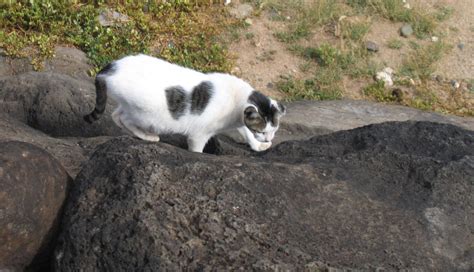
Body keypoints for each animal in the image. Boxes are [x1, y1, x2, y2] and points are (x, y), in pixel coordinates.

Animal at [84, 54, 286, 153]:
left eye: (273, 130)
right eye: (262, 131)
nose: (268, 139)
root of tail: (110, 68)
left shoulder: (241, 118)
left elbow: (245, 131)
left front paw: (258, 146)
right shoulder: (199, 134)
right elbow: (197, 150)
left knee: (116, 115)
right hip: (145, 114)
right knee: (124, 118)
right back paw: (148, 136)